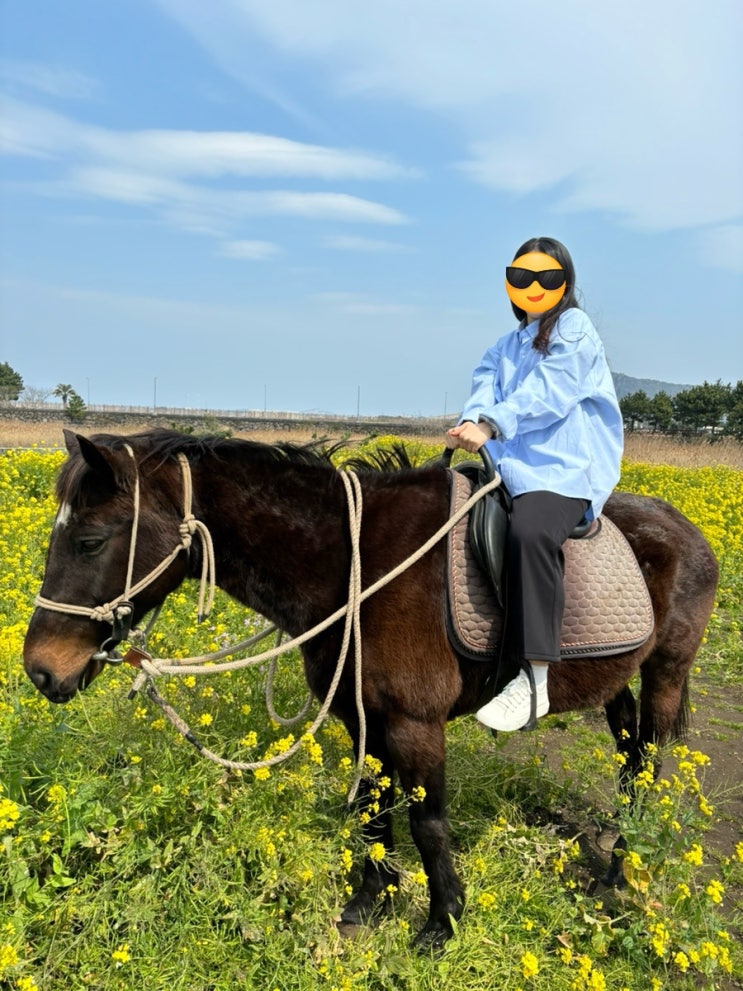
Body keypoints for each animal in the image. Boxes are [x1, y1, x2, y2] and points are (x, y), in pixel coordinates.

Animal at [23, 430, 720, 948]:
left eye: (89, 541)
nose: (40, 670)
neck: (351, 564)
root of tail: (686, 527)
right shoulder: (362, 717)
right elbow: (372, 809)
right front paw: (371, 900)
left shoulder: (415, 721)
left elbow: (428, 822)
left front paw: (442, 922)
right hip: (614, 677)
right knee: (630, 758)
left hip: (665, 671)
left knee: (652, 764)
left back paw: (620, 872)